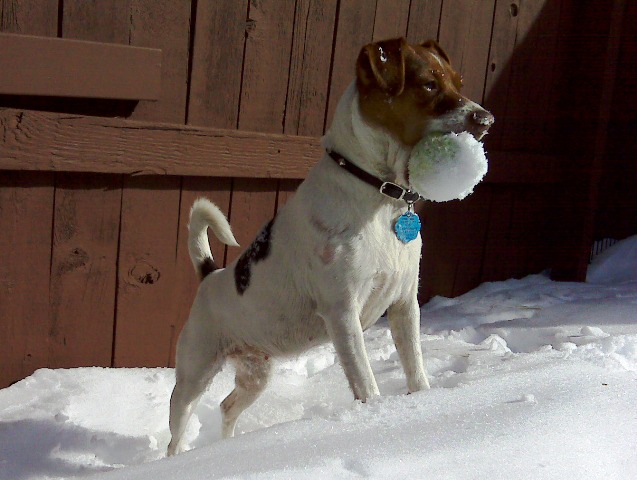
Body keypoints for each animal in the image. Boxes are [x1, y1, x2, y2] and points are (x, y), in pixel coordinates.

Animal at [166, 37, 494, 454]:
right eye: (428, 85)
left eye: (457, 81)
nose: (486, 120)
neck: (379, 197)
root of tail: (210, 276)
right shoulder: (342, 313)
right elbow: (366, 384)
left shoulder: (405, 305)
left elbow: (416, 372)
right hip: (195, 374)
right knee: (178, 430)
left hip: (256, 372)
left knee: (227, 407)